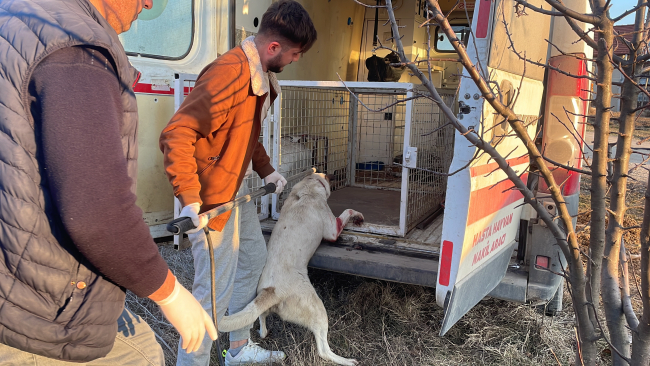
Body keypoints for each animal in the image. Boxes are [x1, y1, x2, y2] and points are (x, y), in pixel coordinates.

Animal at [216, 172, 360, 366]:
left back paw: (264, 331)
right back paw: (346, 360)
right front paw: (357, 215)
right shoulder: (332, 229)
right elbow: (347, 212)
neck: (306, 188)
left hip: (263, 303)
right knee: (323, 350)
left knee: (261, 321)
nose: (334, 175)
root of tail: (272, 291)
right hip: (318, 310)